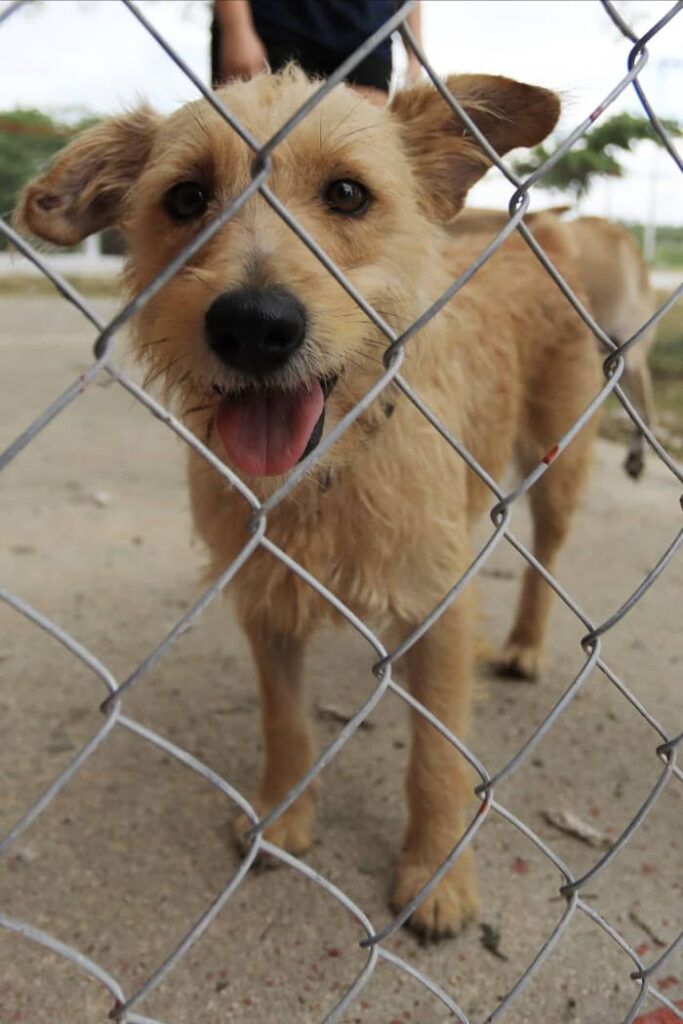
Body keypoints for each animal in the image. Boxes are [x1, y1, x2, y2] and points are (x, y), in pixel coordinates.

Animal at [18, 68, 602, 937]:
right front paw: (283, 819)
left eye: (347, 194)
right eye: (185, 198)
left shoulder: (435, 602)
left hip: (555, 460)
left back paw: (526, 644)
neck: (326, 474)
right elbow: (284, 721)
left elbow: (436, 758)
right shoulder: (264, 597)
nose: (254, 326)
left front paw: (435, 876)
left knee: (547, 554)